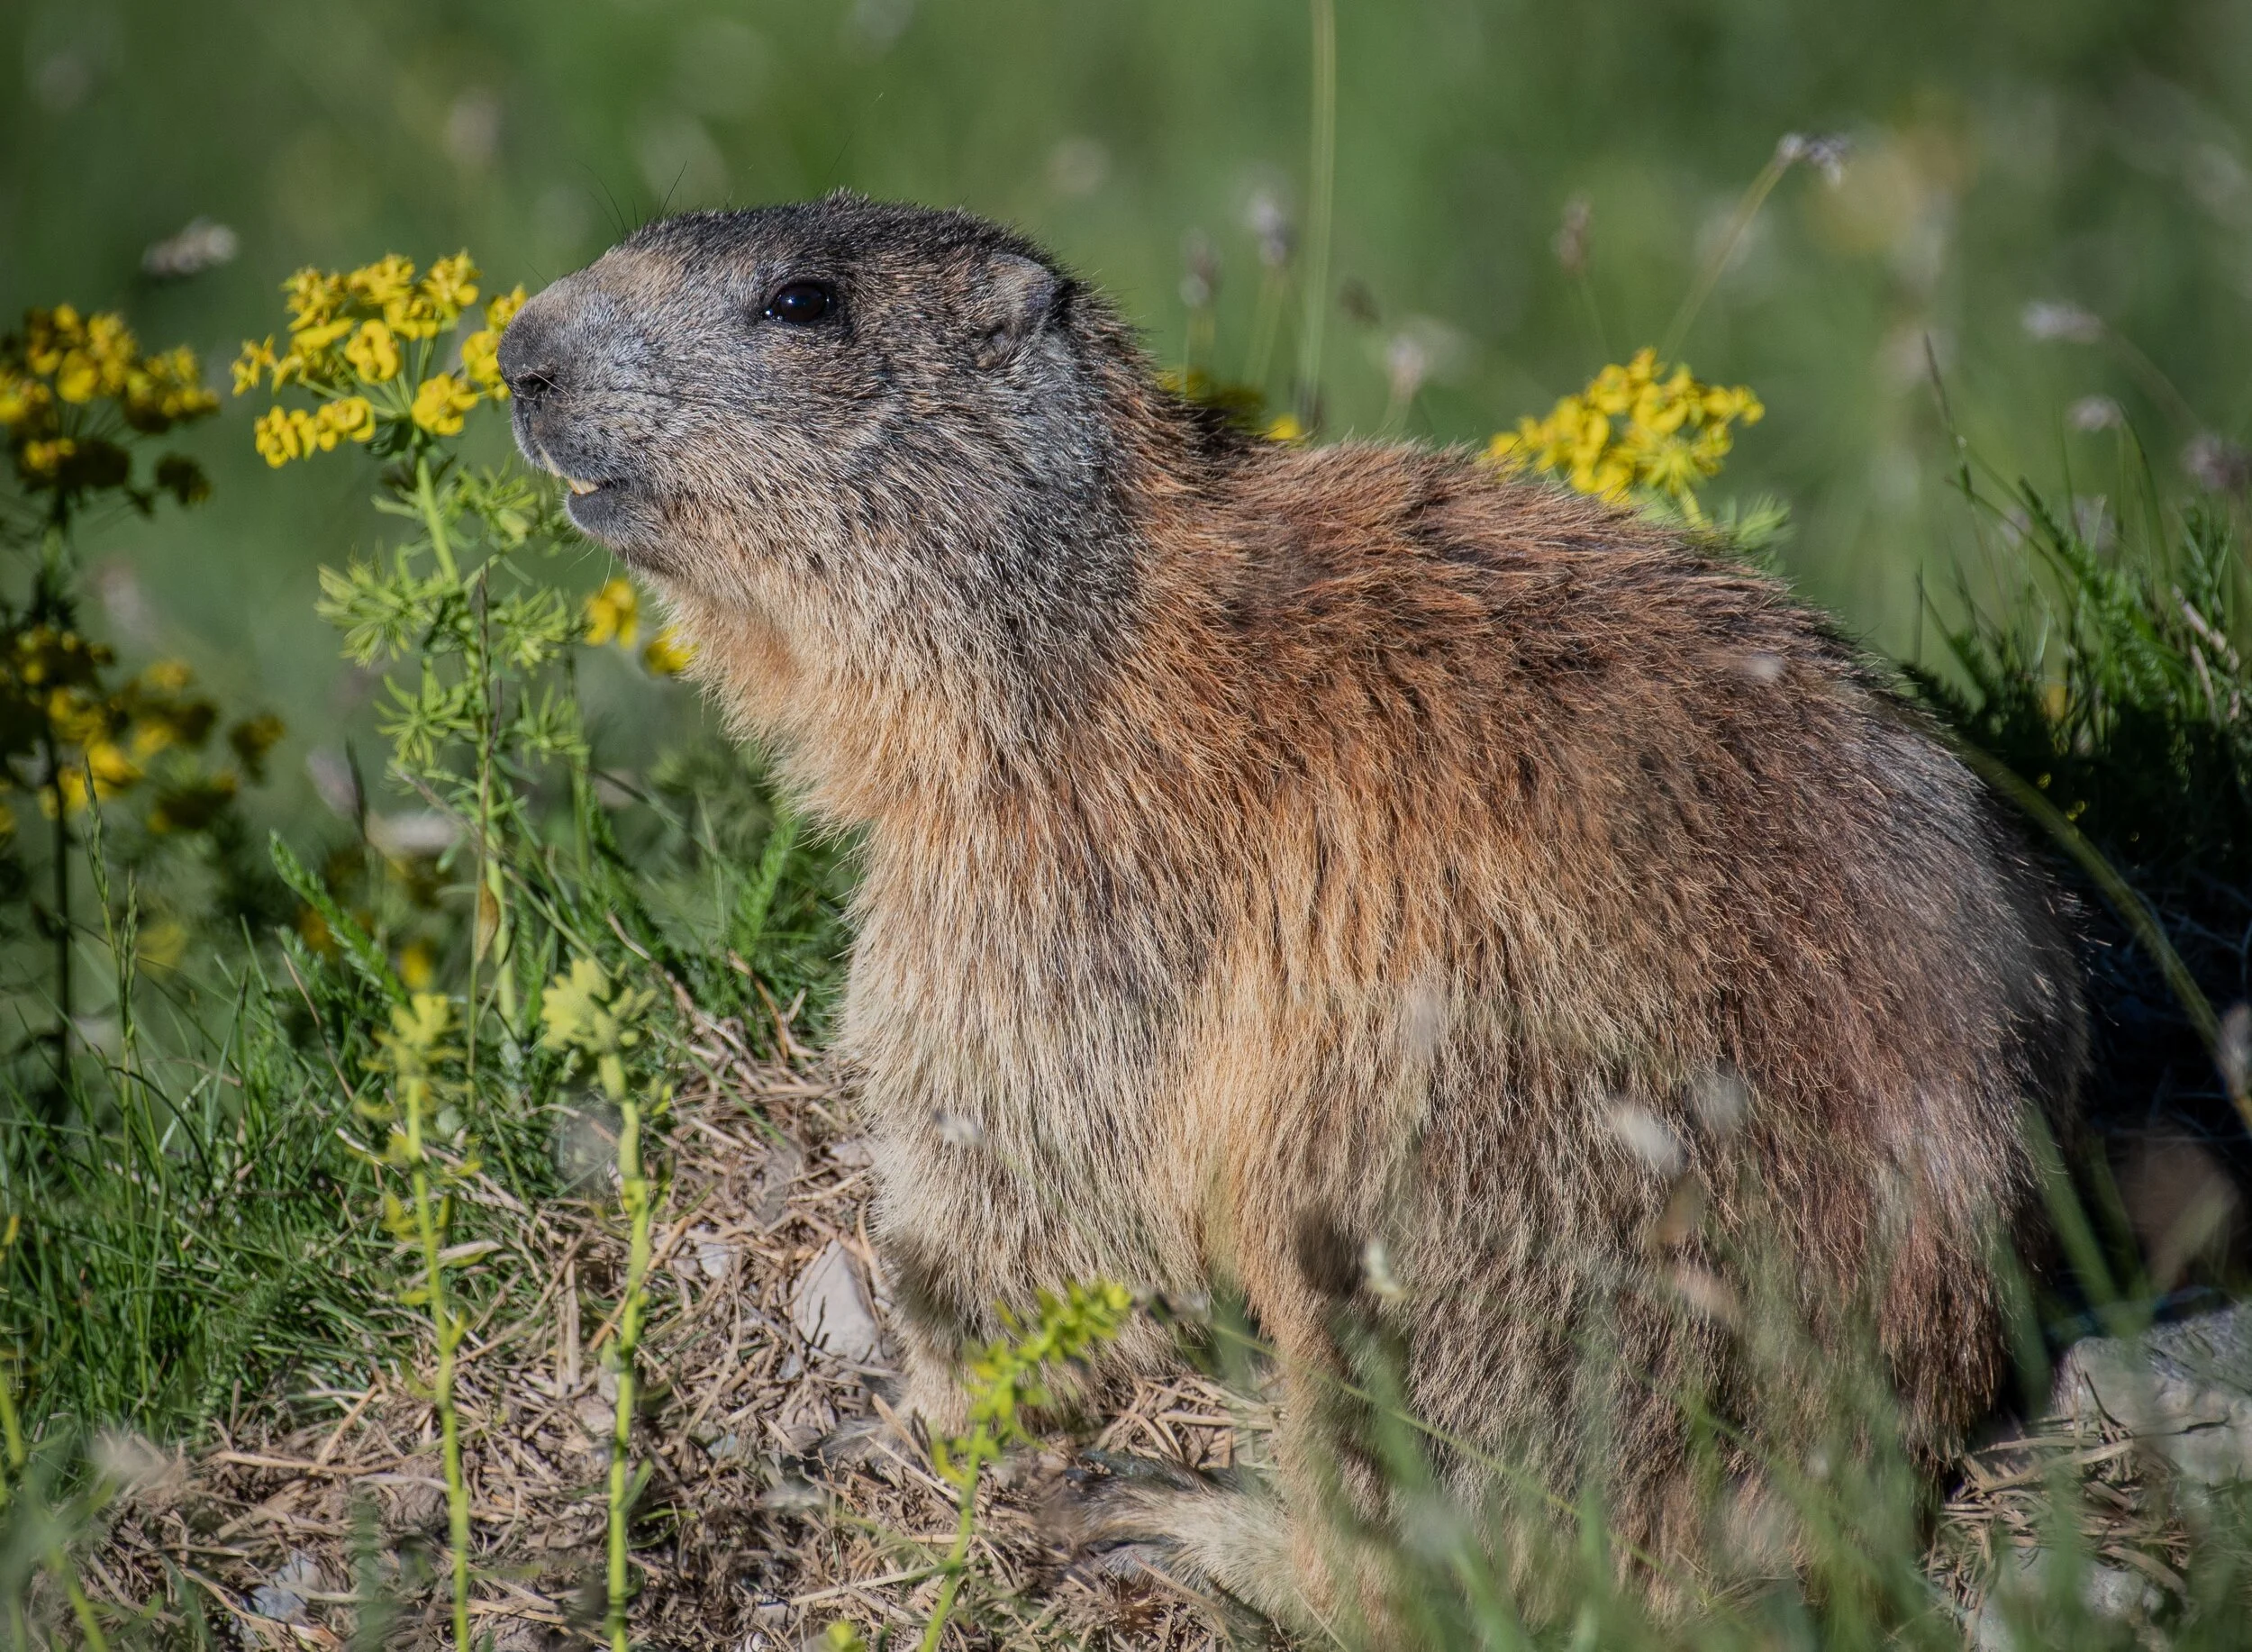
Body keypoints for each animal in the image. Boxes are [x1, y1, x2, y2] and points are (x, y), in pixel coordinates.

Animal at [499, 194, 2084, 1629]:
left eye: (802, 303)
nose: (517, 348)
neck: (1083, 628)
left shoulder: (1056, 875)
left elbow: (1026, 1143)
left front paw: (914, 1385)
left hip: (1453, 1190)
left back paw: (1184, 1517)